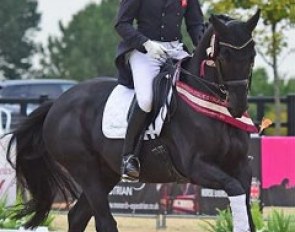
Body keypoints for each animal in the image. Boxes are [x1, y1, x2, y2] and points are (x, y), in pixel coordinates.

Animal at [6, 10, 262, 231]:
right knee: (105, 222)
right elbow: (234, 189)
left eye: (252, 56)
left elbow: (245, 205)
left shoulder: (241, 166)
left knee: (78, 216)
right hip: (85, 170)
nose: (238, 106)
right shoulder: (196, 167)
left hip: (106, 172)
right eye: (224, 57)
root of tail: (57, 103)